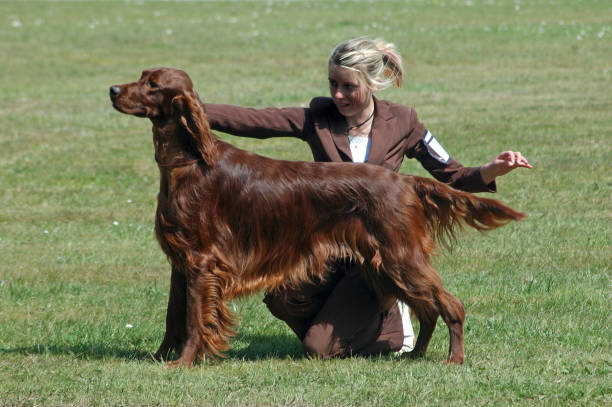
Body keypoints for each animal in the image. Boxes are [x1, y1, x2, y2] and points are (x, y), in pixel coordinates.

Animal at [110, 68, 524, 368]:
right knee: (426, 309)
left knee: (450, 305)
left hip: (399, 257)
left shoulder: (202, 262)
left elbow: (195, 319)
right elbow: (173, 316)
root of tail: (403, 179)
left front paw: (182, 363)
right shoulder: (181, 261)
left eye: (153, 84)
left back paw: (454, 358)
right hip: (387, 266)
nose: (113, 89)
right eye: (142, 75)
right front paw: (160, 356)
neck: (189, 161)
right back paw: (417, 355)